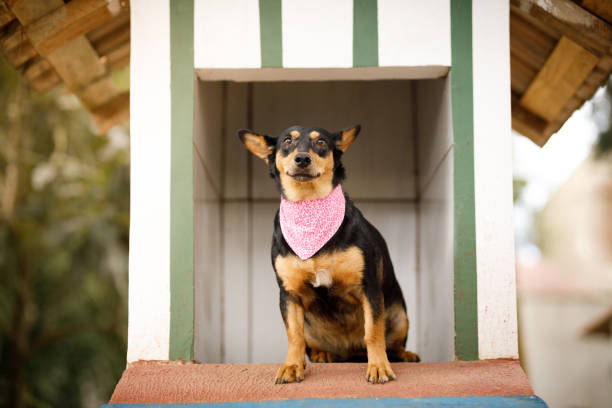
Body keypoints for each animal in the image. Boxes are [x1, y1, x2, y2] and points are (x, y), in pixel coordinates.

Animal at [237, 125, 418, 386]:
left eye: (321, 141)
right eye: (287, 141)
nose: (302, 158)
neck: (309, 205)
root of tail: (349, 353)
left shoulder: (369, 288)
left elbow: (373, 332)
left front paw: (378, 367)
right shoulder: (289, 294)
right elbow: (294, 336)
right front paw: (292, 366)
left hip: (399, 315)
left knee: (392, 344)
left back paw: (404, 355)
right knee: (311, 344)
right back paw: (323, 354)